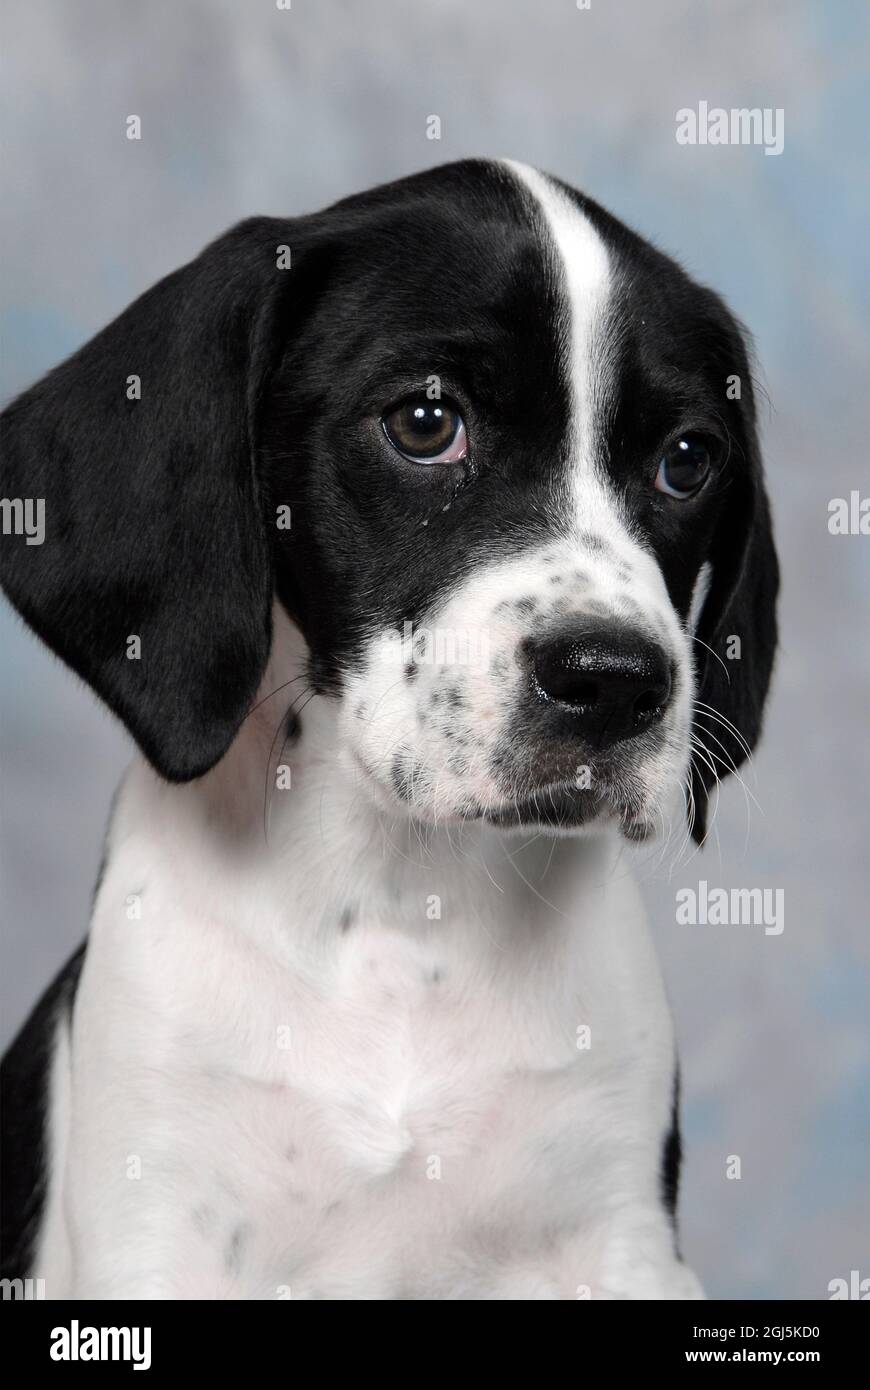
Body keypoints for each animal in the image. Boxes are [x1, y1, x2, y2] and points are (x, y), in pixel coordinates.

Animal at [0, 162, 772, 1301]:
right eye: (423, 421)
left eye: (688, 460)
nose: (616, 681)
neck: (408, 906)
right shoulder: (157, 1239)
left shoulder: (621, 1248)